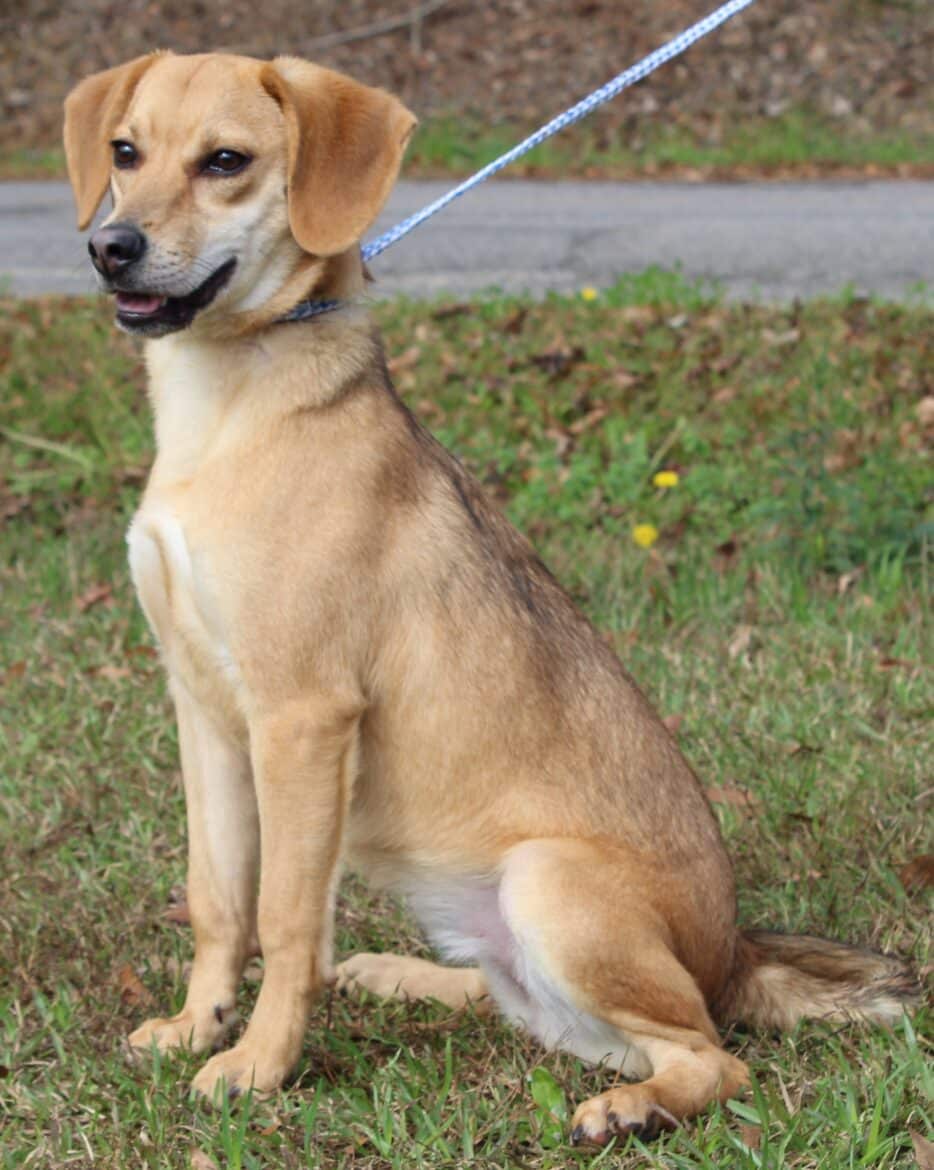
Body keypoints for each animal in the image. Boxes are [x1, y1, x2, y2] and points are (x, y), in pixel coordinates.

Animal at [63, 51, 917, 1145]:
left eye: (226, 161)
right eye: (124, 151)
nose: (108, 248)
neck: (227, 411)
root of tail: (735, 960)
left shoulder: (300, 717)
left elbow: (285, 918)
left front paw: (259, 1063)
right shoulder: (203, 711)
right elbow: (218, 898)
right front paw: (197, 1024)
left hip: (549, 885)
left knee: (709, 1056)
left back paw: (630, 1109)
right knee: (518, 1004)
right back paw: (394, 975)